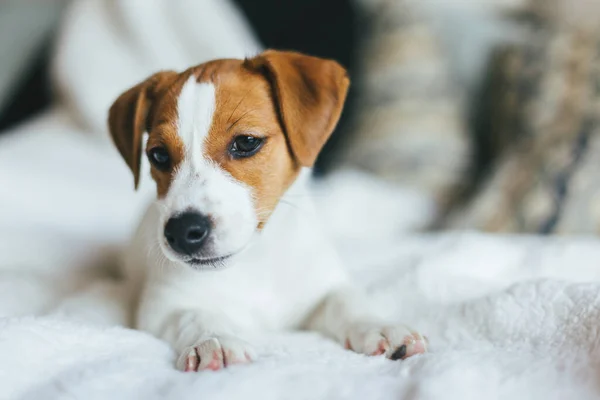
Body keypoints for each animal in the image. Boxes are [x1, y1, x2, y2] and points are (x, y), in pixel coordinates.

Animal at [108, 49, 426, 372]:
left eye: (246, 142)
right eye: (158, 155)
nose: (182, 231)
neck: (255, 259)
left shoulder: (322, 288)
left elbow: (346, 300)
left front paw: (379, 326)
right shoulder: (161, 306)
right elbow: (194, 315)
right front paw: (215, 339)